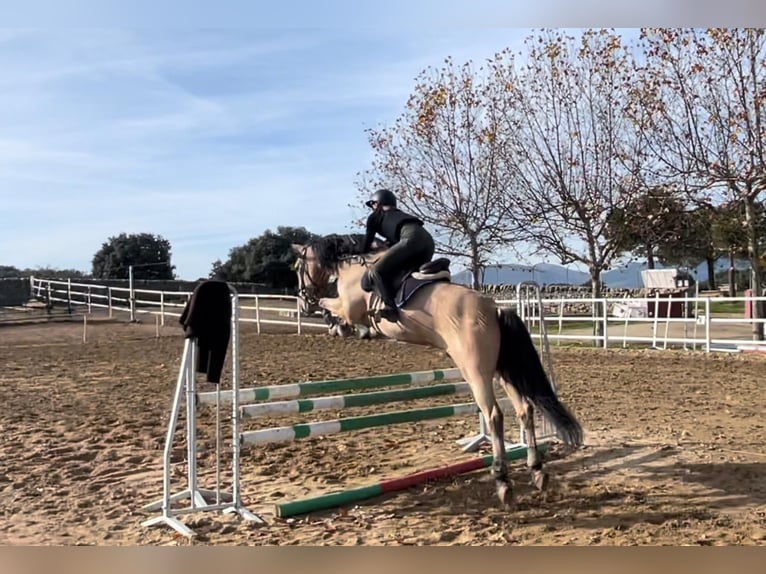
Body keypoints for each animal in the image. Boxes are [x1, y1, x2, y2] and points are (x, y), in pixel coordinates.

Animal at [292, 234, 584, 508]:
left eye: (297, 267)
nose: (303, 301)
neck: (352, 267)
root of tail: (495, 309)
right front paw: (347, 329)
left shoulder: (348, 307)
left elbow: (329, 305)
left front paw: (337, 324)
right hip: (503, 371)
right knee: (524, 409)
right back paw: (537, 471)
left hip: (475, 371)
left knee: (494, 415)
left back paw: (503, 482)